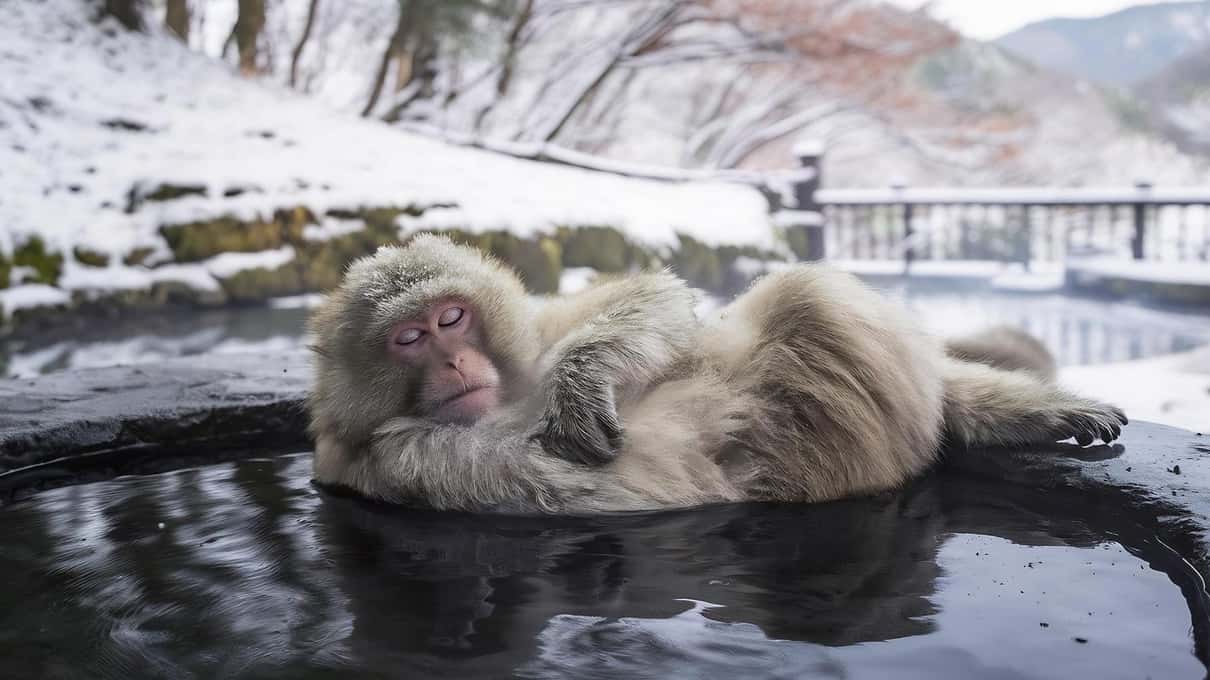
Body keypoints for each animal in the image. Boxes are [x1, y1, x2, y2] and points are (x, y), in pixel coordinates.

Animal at [307, 235, 1127, 514]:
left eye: (451, 318)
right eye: (408, 338)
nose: (452, 360)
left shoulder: (539, 325)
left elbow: (658, 301)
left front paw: (581, 379)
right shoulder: (399, 461)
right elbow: (630, 489)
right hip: (858, 436)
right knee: (808, 299)